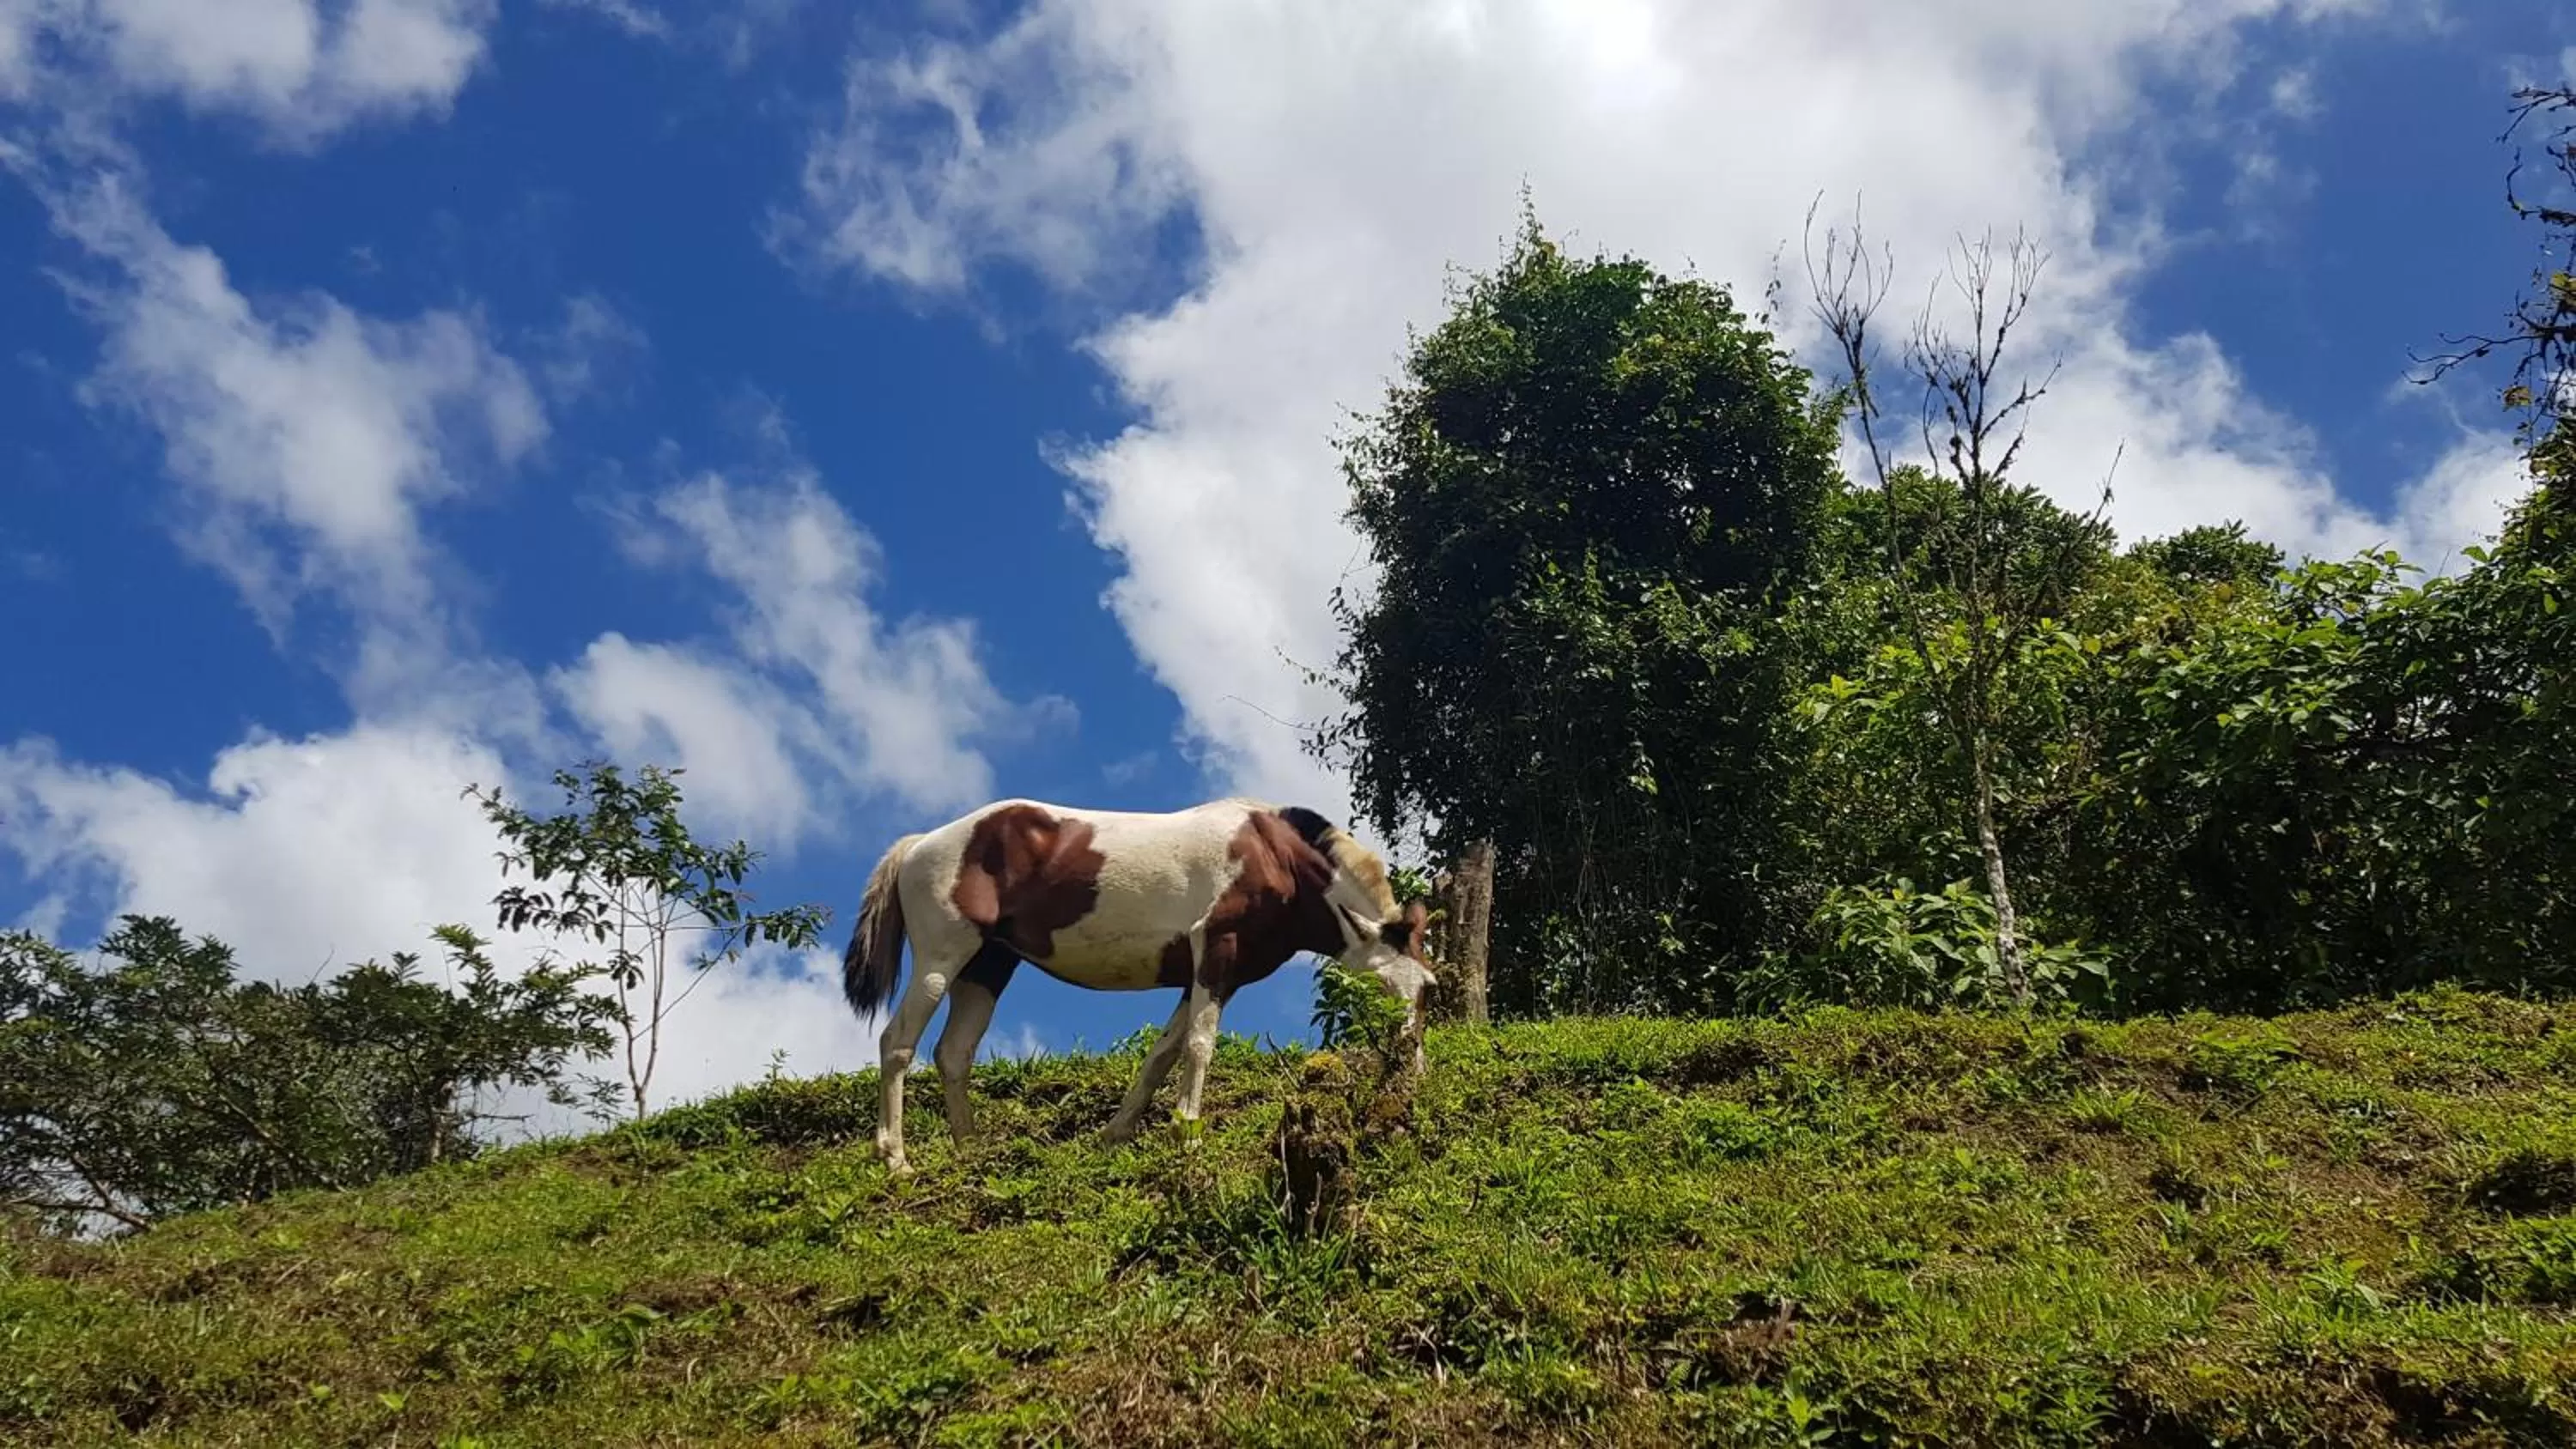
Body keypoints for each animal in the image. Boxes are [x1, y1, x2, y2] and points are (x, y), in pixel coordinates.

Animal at [843, 796, 1434, 1174]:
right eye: (1421, 988)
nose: (1415, 1066)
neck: (1275, 860)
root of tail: (920, 844)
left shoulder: (1207, 977)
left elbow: (1161, 1055)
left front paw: (1117, 1133)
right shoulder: (1216, 953)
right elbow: (1199, 1046)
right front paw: (1188, 1133)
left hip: (987, 967)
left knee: (954, 1053)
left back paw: (969, 1148)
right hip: (942, 959)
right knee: (898, 1044)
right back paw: (895, 1158)